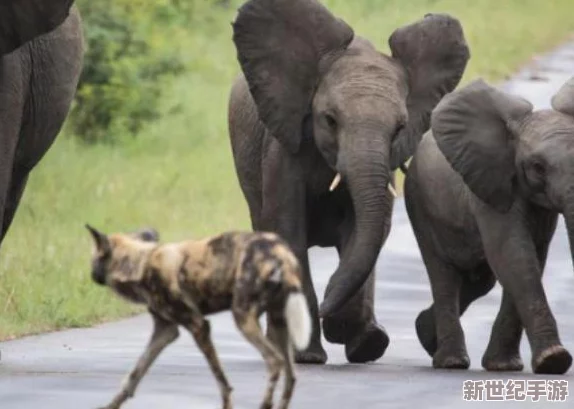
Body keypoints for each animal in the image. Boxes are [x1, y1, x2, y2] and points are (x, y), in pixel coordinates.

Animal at [86, 225, 312, 408]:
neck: (141, 263)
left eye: (93, 259)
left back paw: (264, 404)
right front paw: (111, 405)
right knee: (291, 376)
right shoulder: (165, 331)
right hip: (278, 321)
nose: (91, 275)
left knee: (274, 361)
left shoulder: (198, 326)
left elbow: (221, 381)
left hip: (243, 317)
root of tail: (280, 252)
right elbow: (134, 374)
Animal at [227, 0, 470, 364]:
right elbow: (288, 228)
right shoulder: (283, 148)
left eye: (400, 128)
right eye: (329, 120)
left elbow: (368, 229)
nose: (324, 308)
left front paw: (350, 334)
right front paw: (310, 354)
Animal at [404, 76, 574, 372]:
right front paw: (554, 360)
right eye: (538, 167)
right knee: (443, 273)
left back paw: (426, 334)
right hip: (419, 203)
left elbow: (531, 258)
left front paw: (504, 366)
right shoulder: (491, 188)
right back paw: (451, 361)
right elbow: (513, 255)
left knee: (479, 280)